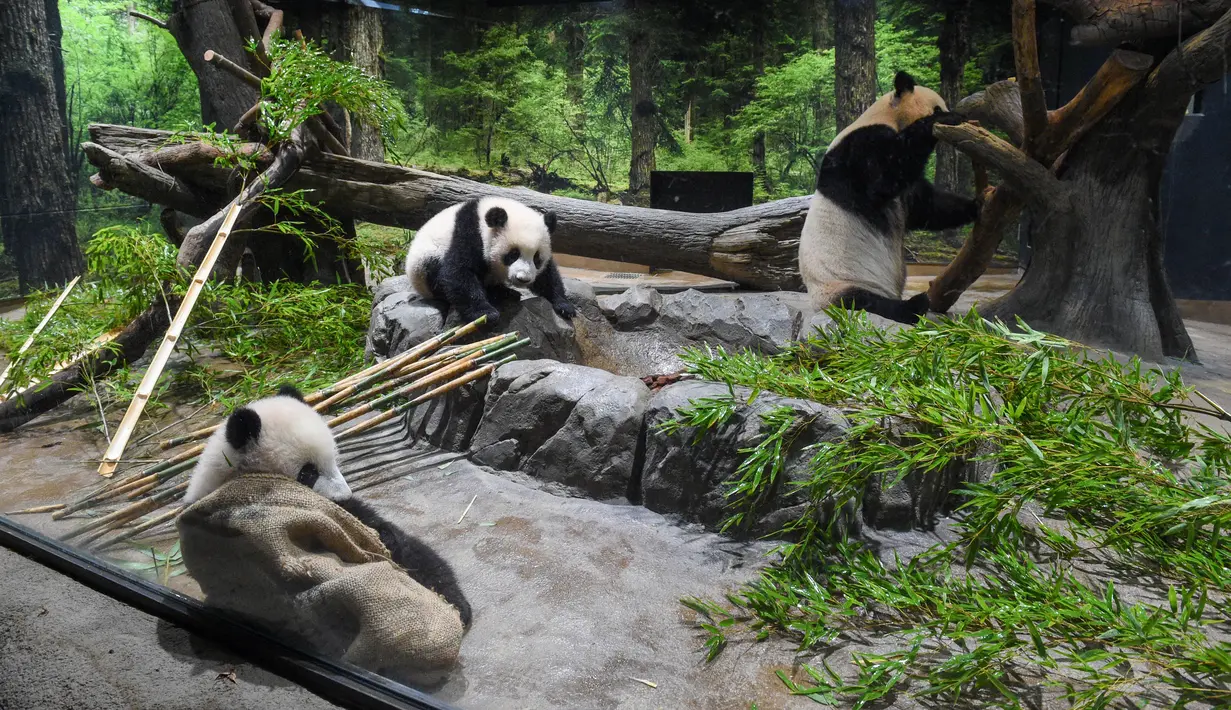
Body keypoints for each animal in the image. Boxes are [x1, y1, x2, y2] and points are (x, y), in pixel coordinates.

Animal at [405, 196, 576, 326]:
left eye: (537, 258)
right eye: (513, 254)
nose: (523, 279)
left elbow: (547, 276)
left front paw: (565, 306)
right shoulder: (468, 233)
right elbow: (459, 272)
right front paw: (486, 314)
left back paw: (505, 292)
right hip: (425, 262)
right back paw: (498, 294)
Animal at [799, 71, 981, 324]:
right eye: (936, 108)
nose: (952, 115)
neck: (887, 116)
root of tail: (817, 304)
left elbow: (926, 206)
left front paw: (976, 205)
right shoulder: (859, 148)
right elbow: (883, 181)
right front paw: (942, 121)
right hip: (840, 284)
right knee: (865, 301)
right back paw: (914, 305)